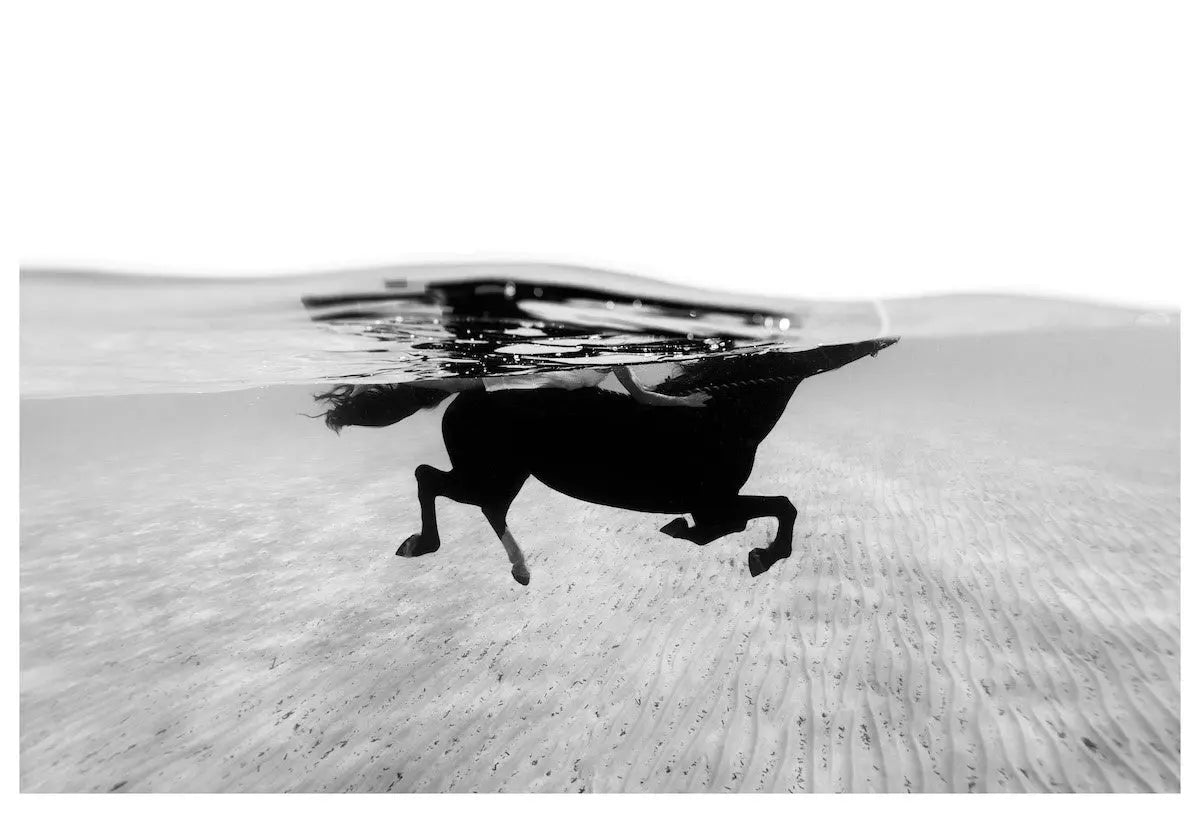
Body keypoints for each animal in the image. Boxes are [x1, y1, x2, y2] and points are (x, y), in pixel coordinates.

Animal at [316, 337, 897, 585]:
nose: (881, 340)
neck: (723, 412)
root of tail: (470, 390)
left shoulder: (714, 503)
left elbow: (749, 517)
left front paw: (684, 532)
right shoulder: (715, 499)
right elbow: (776, 509)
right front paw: (760, 556)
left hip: (505, 475)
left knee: (474, 500)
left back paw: (517, 568)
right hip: (492, 471)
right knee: (433, 482)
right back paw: (428, 546)